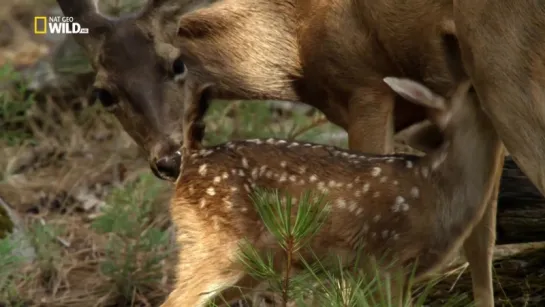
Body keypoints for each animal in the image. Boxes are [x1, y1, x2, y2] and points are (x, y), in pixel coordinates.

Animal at [159, 77, 504, 307]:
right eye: (471, 88)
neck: (437, 189)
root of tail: (191, 160)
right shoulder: (383, 258)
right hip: (218, 246)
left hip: (246, 265)